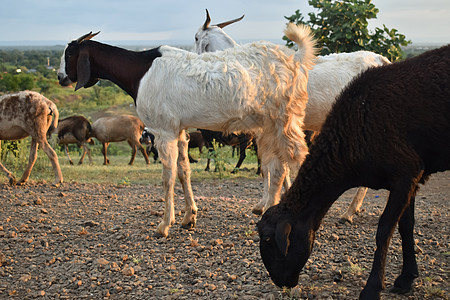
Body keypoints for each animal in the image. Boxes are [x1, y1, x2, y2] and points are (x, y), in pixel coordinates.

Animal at [57, 23, 316, 238]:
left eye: (69, 54)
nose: (60, 77)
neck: (140, 71)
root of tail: (295, 59)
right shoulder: (179, 130)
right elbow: (184, 171)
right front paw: (189, 217)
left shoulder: (164, 130)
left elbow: (168, 177)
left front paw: (164, 225)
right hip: (271, 124)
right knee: (278, 168)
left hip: (284, 119)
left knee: (298, 158)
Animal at [195, 9, 392, 221]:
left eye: (196, 37)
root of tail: (382, 61)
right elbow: (270, 167)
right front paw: (265, 203)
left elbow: (273, 168)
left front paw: (268, 204)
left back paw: (349, 212)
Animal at [256, 45, 450, 300]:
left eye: (269, 239)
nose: (280, 282)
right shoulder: (412, 178)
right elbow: (406, 226)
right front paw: (406, 279)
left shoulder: (405, 174)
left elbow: (384, 230)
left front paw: (372, 288)